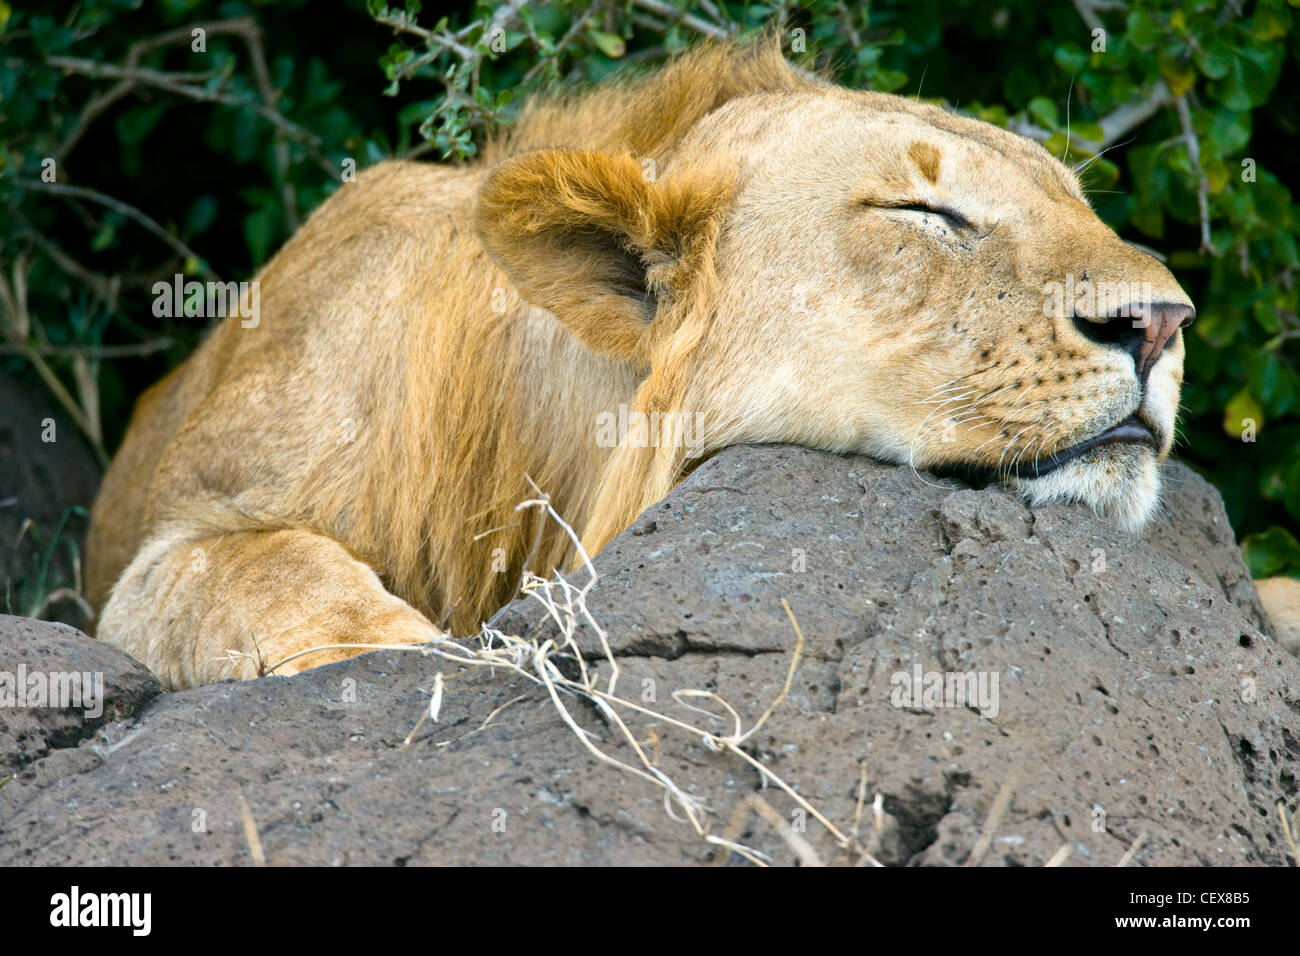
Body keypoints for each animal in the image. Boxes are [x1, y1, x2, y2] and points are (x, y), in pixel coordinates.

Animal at [83, 37, 1300, 686]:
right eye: (924, 211)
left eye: (1075, 204)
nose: (1163, 320)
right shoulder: (160, 553)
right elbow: (261, 569)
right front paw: (400, 648)